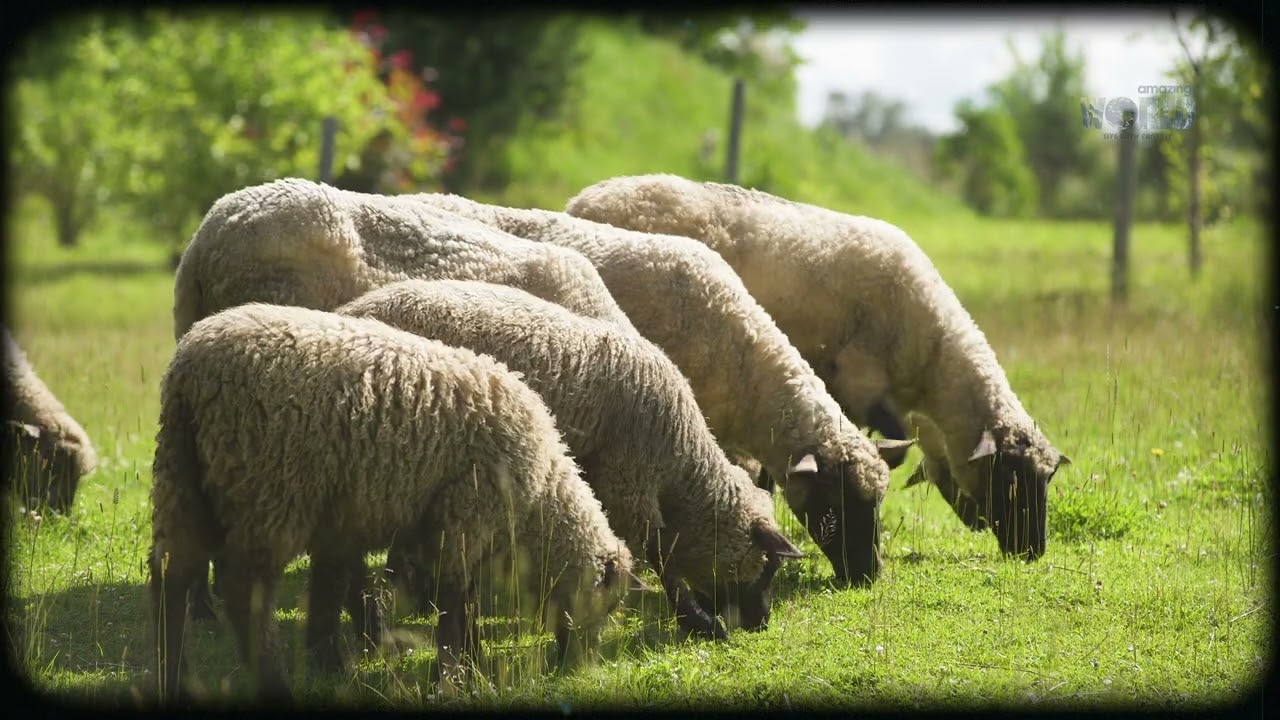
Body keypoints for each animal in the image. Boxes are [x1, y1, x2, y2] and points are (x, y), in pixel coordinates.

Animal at [148, 303, 638, 703]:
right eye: (609, 601)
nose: (579, 668)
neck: (539, 500)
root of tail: (192, 368)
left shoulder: (348, 521)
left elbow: (334, 586)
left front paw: (333, 662)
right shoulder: (465, 515)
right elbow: (454, 602)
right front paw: (452, 678)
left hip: (183, 476)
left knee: (171, 575)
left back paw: (175, 678)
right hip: (271, 487)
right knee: (242, 589)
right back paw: (272, 683)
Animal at [336, 279, 806, 640]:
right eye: (766, 568)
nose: (761, 624)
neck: (679, 462)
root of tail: (348, 309)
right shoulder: (628, 479)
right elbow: (661, 556)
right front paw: (700, 621)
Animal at [566, 174, 1071, 560]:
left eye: (1045, 480)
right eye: (1011, 479)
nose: (1033, 552)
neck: (933, 355)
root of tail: (582, 199)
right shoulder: (862, 380)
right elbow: (898, 447)